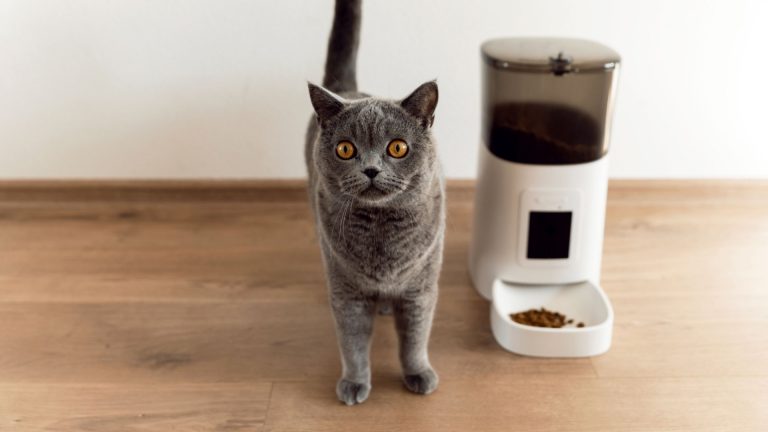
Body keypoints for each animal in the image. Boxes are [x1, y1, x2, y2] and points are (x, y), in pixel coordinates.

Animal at [304, 0, 440, 404]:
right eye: (346, 149)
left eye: (397, 148)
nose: (371, 169)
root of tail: (348, 89)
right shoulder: (346, 291)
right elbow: (351, 343)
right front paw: (354, 383)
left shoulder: (420, 288)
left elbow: (414, 339)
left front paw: (418, 374)